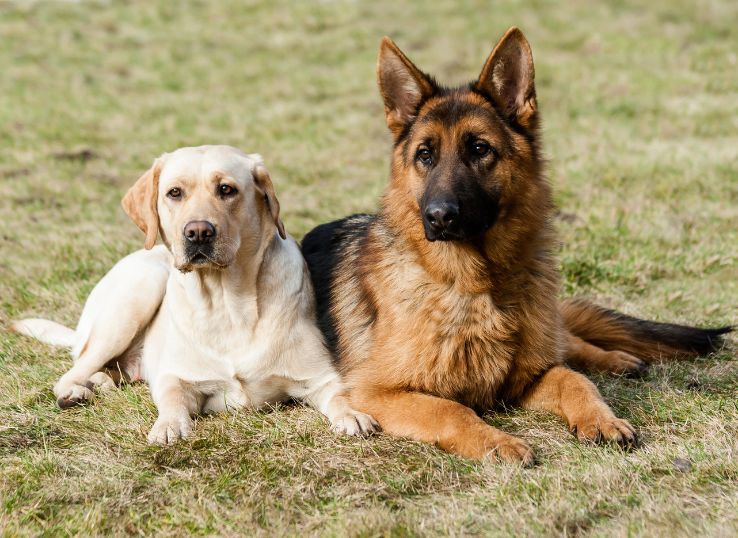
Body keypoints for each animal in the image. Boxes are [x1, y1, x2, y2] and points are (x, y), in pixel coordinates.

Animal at [12, 144, 374, 442]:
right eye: (174, 193)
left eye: (226, 189)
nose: (198, 232)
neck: (227, 302)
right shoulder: (175, 376)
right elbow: (172, 399)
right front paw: (169, 427)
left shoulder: (321, 376)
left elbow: (341, 395)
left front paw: (352, 415)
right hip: (141, 287)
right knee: (73, 370)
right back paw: (77, 391)